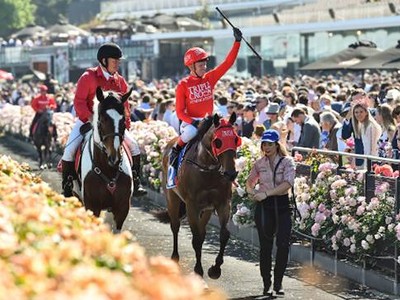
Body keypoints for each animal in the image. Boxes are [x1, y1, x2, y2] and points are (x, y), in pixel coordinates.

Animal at [72, 86, 134, 232]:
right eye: (103, 119)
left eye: (123, 120)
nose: (114, 157)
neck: (109, 169)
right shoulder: (92, 205)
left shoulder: (122, 208)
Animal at [155, 113, 239, 278]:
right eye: (218, 142)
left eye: (236, 139)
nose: (231, 174)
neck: (208, 170)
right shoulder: (192, 206)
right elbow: (196, 239)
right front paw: (198, 270)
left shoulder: (223, 203)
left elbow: (224, 234)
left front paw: (215, 269)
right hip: (172, 199)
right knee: (175, 226)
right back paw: (175, 258)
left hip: (206, 210)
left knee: (202, 231)